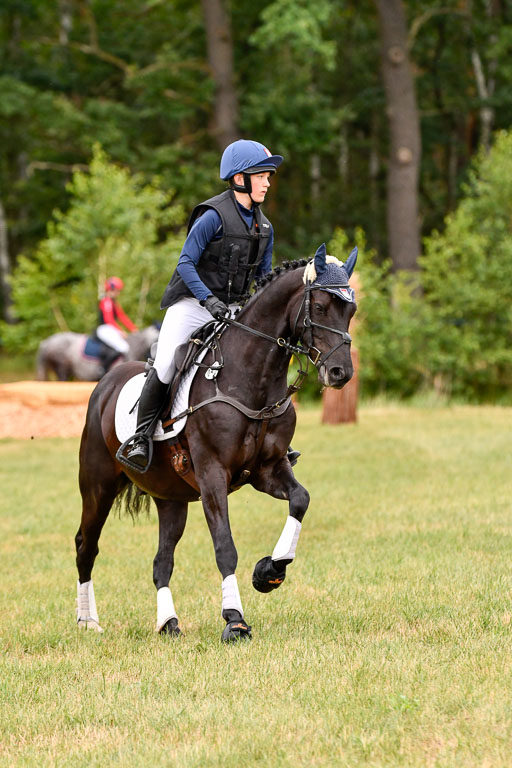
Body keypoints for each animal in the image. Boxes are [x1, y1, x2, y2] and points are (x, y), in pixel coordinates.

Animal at [76, 243, 358, 640]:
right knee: (86, 545)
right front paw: (235, 620)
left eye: (351, 310)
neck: (250, 379)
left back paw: (168, 623)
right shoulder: (212, 474)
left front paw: (270, 571)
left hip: (171, 498)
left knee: (162, 561)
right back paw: (87, 621)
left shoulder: (268, 469)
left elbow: (300, 499)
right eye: (318, 307)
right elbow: (225, 547)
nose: (340, 373)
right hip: (98, 485)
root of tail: (104, 384)